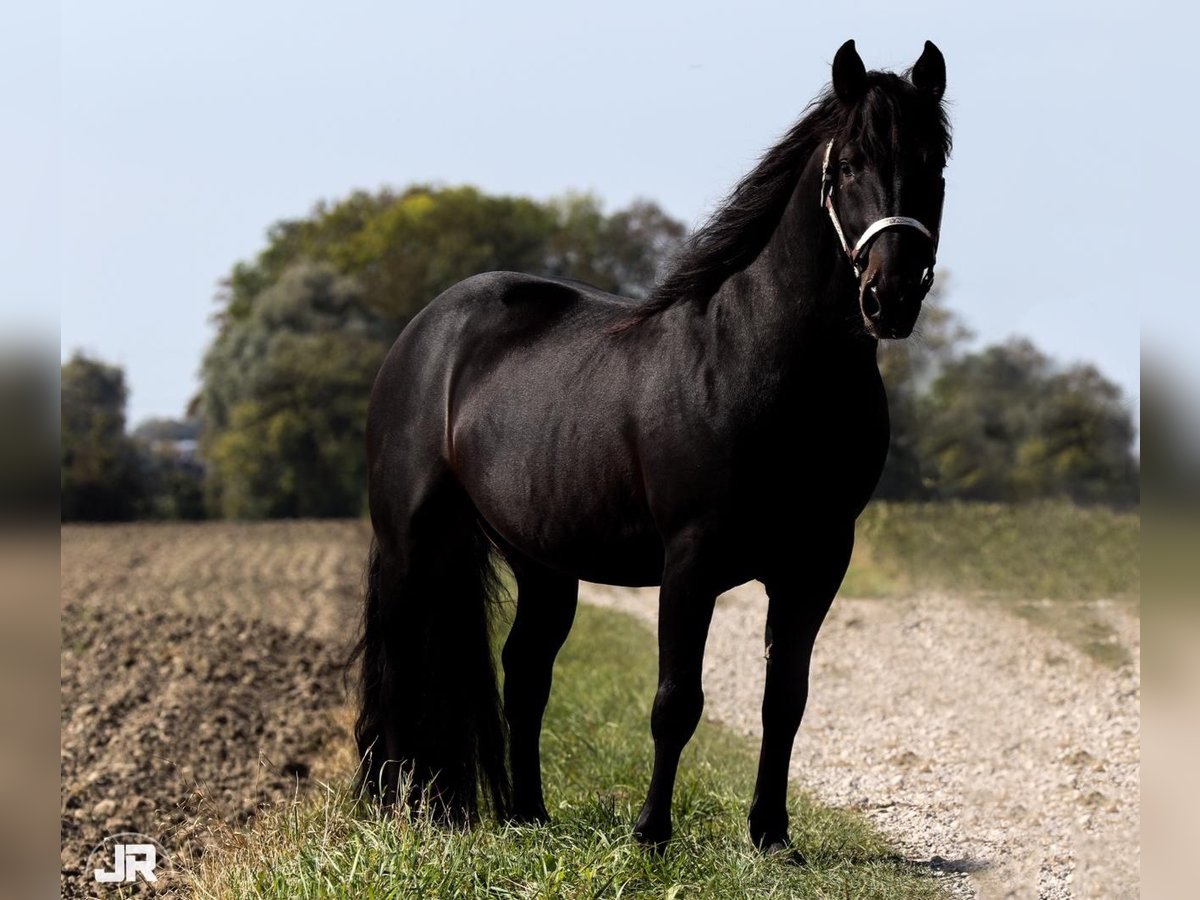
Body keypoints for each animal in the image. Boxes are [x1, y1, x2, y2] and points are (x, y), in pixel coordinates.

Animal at [350, 38, 950, 864]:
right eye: (851, 163)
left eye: (933, 160)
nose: (890, 297)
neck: (761, 360)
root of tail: (426, 330)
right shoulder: (691, 560)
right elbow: (676, 701)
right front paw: (650, 834)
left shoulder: (818, 562)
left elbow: (785, 701)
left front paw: (771, 836)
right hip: (413, 542)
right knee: (397, 664)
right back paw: (390, 805)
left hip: (543, 561)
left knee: (524, 673)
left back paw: (525, 814)